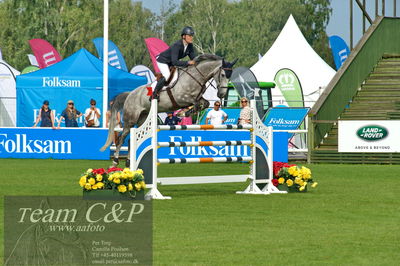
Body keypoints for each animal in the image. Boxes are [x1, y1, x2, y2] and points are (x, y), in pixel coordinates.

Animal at [101, 54, 236, 166]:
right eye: (223, 75)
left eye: (230, 76)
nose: (222, 94)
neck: (195, 77)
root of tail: (130, 94)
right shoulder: (182, 98)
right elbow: (195, 104)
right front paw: (183, 113)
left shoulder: (198, 99)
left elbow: (204, 103)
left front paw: (185, 113)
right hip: (130, 120)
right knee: (121, 138)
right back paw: (115, 161)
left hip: (142, 119)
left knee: (131, 140)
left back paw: (129, 162)